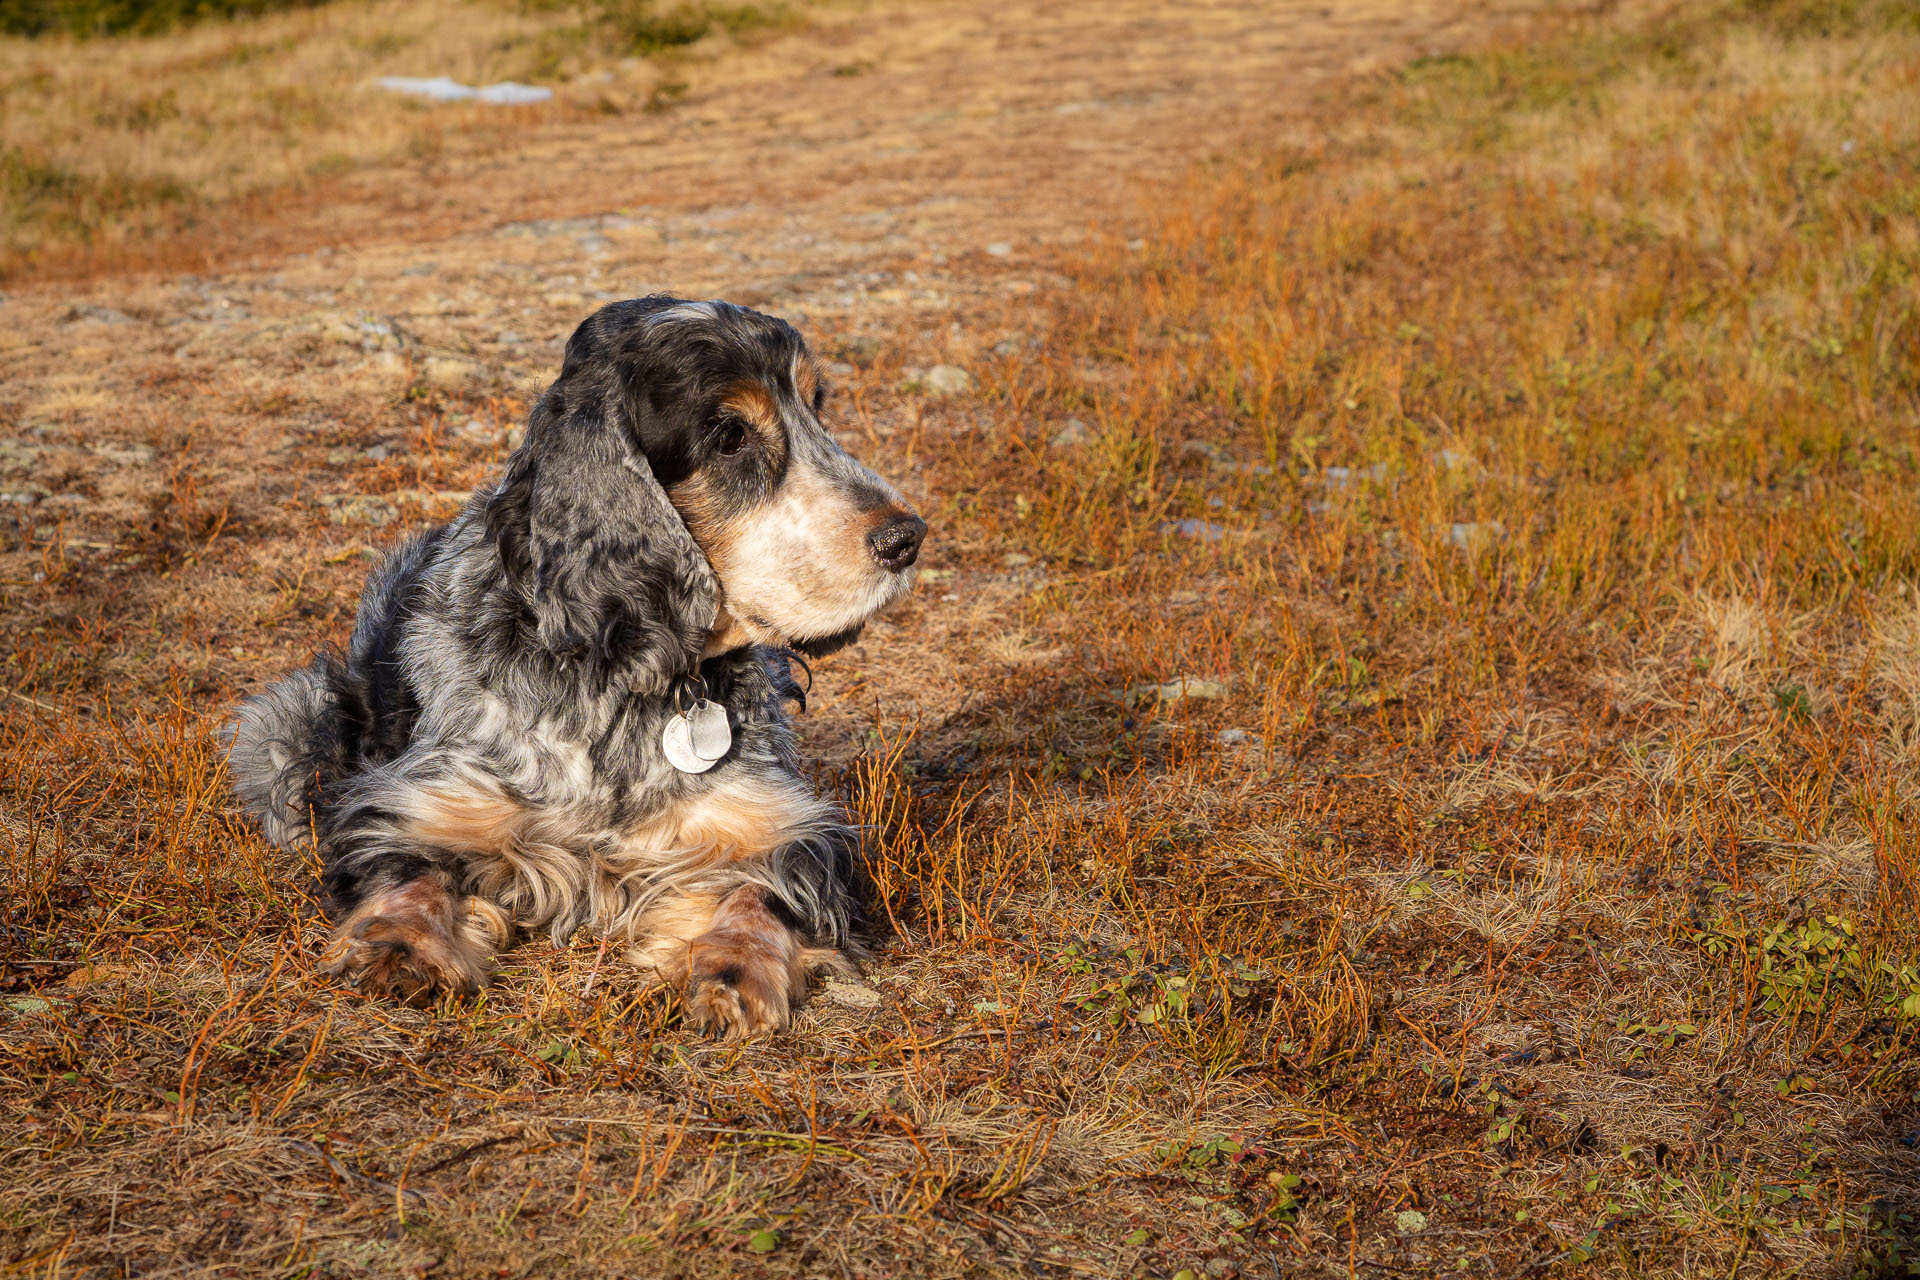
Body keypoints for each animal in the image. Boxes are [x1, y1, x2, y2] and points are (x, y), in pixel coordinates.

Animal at [224, 301, 929, 1043]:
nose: (908, 537)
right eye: (731, 436)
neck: (622, 671)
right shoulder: (415, 801)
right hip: (280, 727)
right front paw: (400, 946)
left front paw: (734, 969)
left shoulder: (782, 825)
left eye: (818, 406)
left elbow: (759, 890)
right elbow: (410, 868)